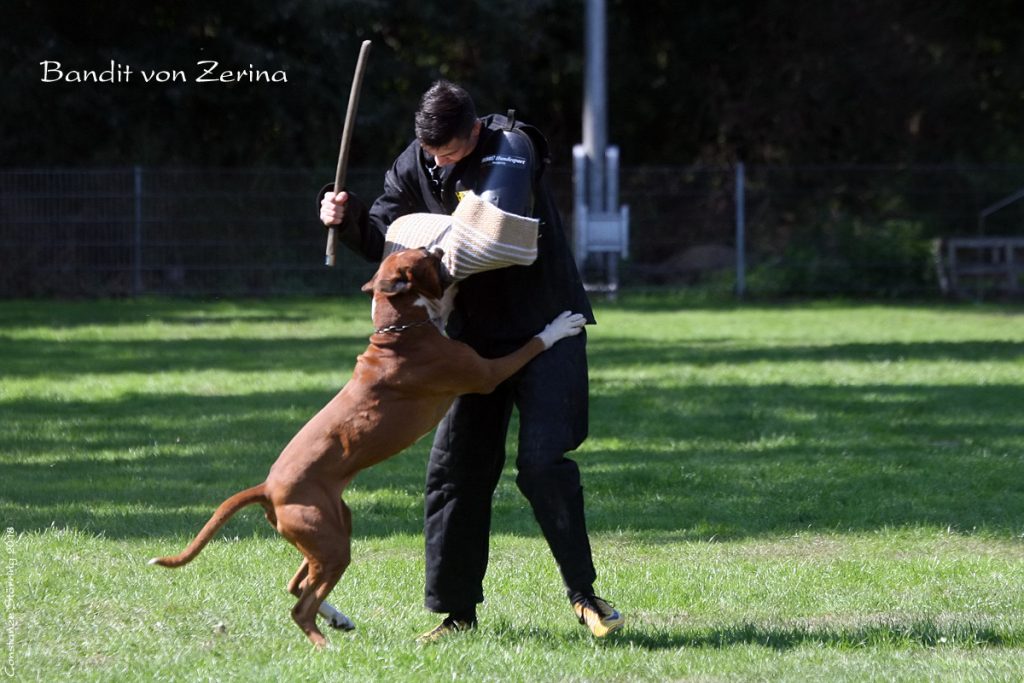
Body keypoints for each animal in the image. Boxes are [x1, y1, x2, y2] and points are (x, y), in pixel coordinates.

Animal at [148, 245, 589, 647]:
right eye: (425, 258)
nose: (439, 246)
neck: (399, 328)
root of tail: (267, 488)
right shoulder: (487, 373)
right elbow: (530, 345)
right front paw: (559, 326)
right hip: (331, 543)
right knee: (300, 605)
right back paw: (324, 645)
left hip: (334, 531)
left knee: (299, 582)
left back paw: (337, 618)